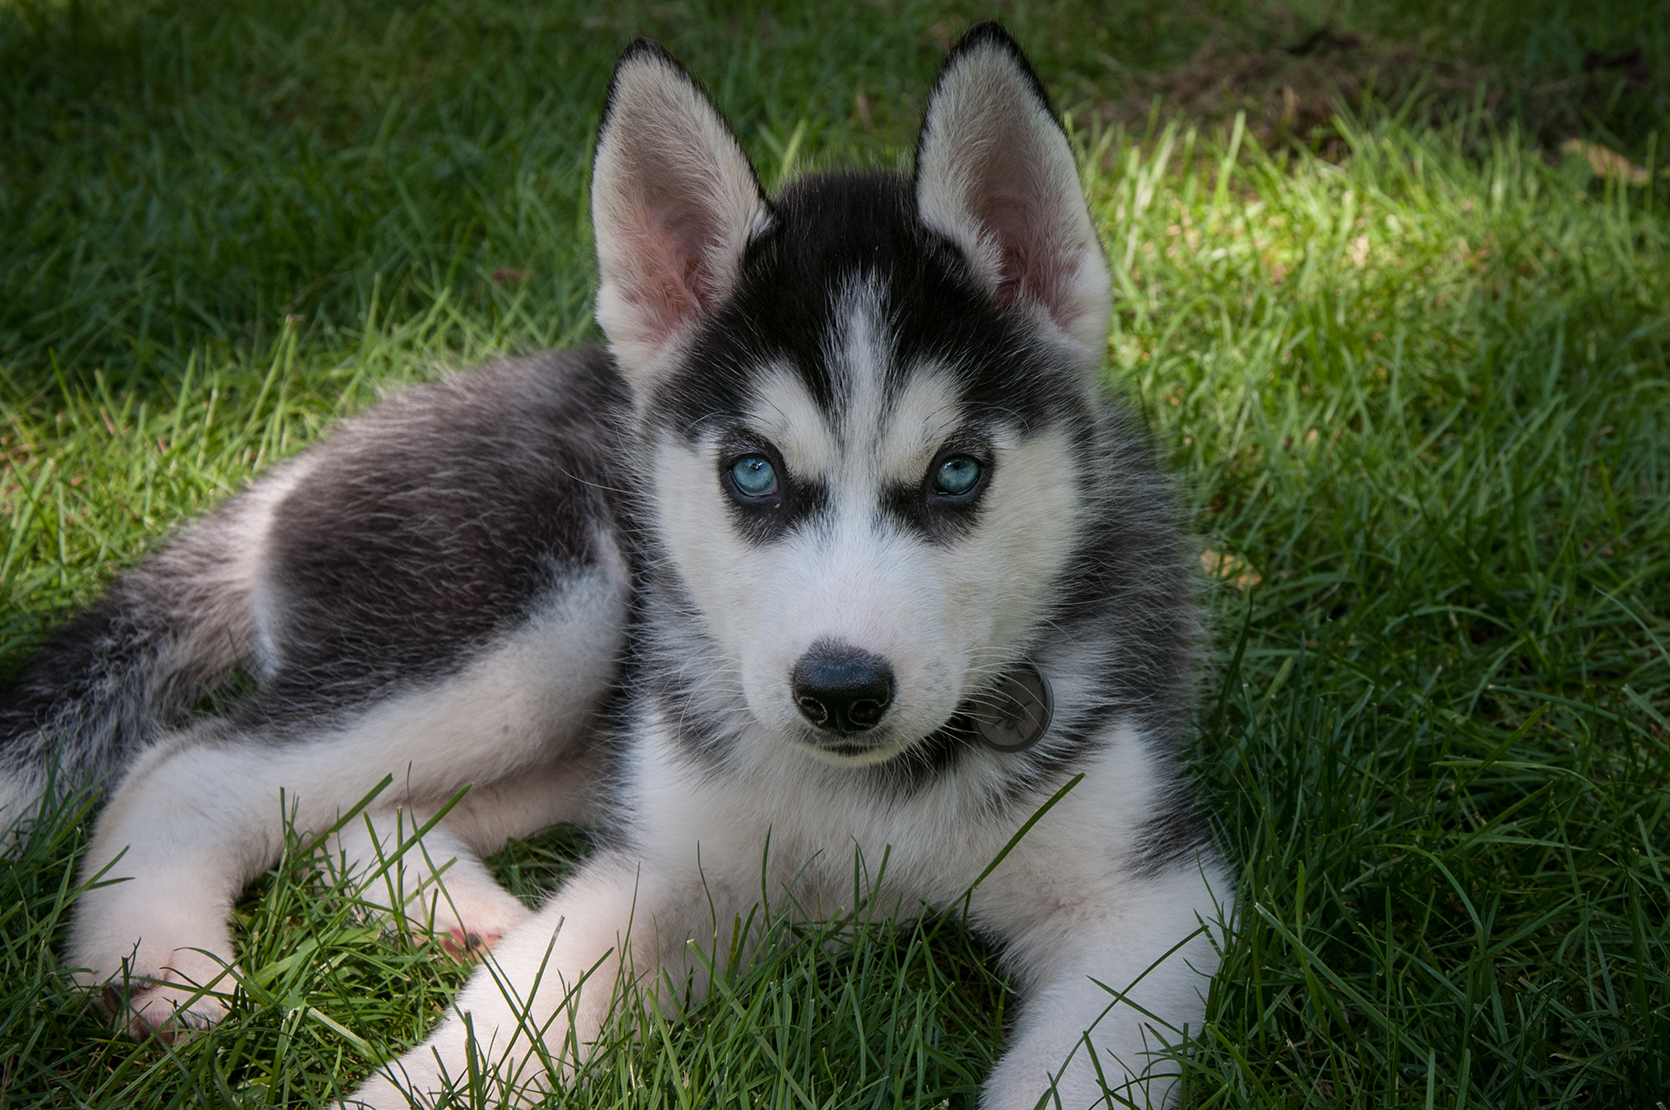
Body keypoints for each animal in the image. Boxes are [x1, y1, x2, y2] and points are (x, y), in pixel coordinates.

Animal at [0, 25, 1235, 1108]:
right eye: (751, 472)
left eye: (957, 472)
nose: (839, 692)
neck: (872, 798)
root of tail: (321, 452)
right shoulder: (664, 869)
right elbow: (510, 1019)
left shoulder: (1148, 901)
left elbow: (1077, 1074)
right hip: (545, 622)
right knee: (185, 764)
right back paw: (156, 958)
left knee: (343, 807)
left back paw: (448, 908)